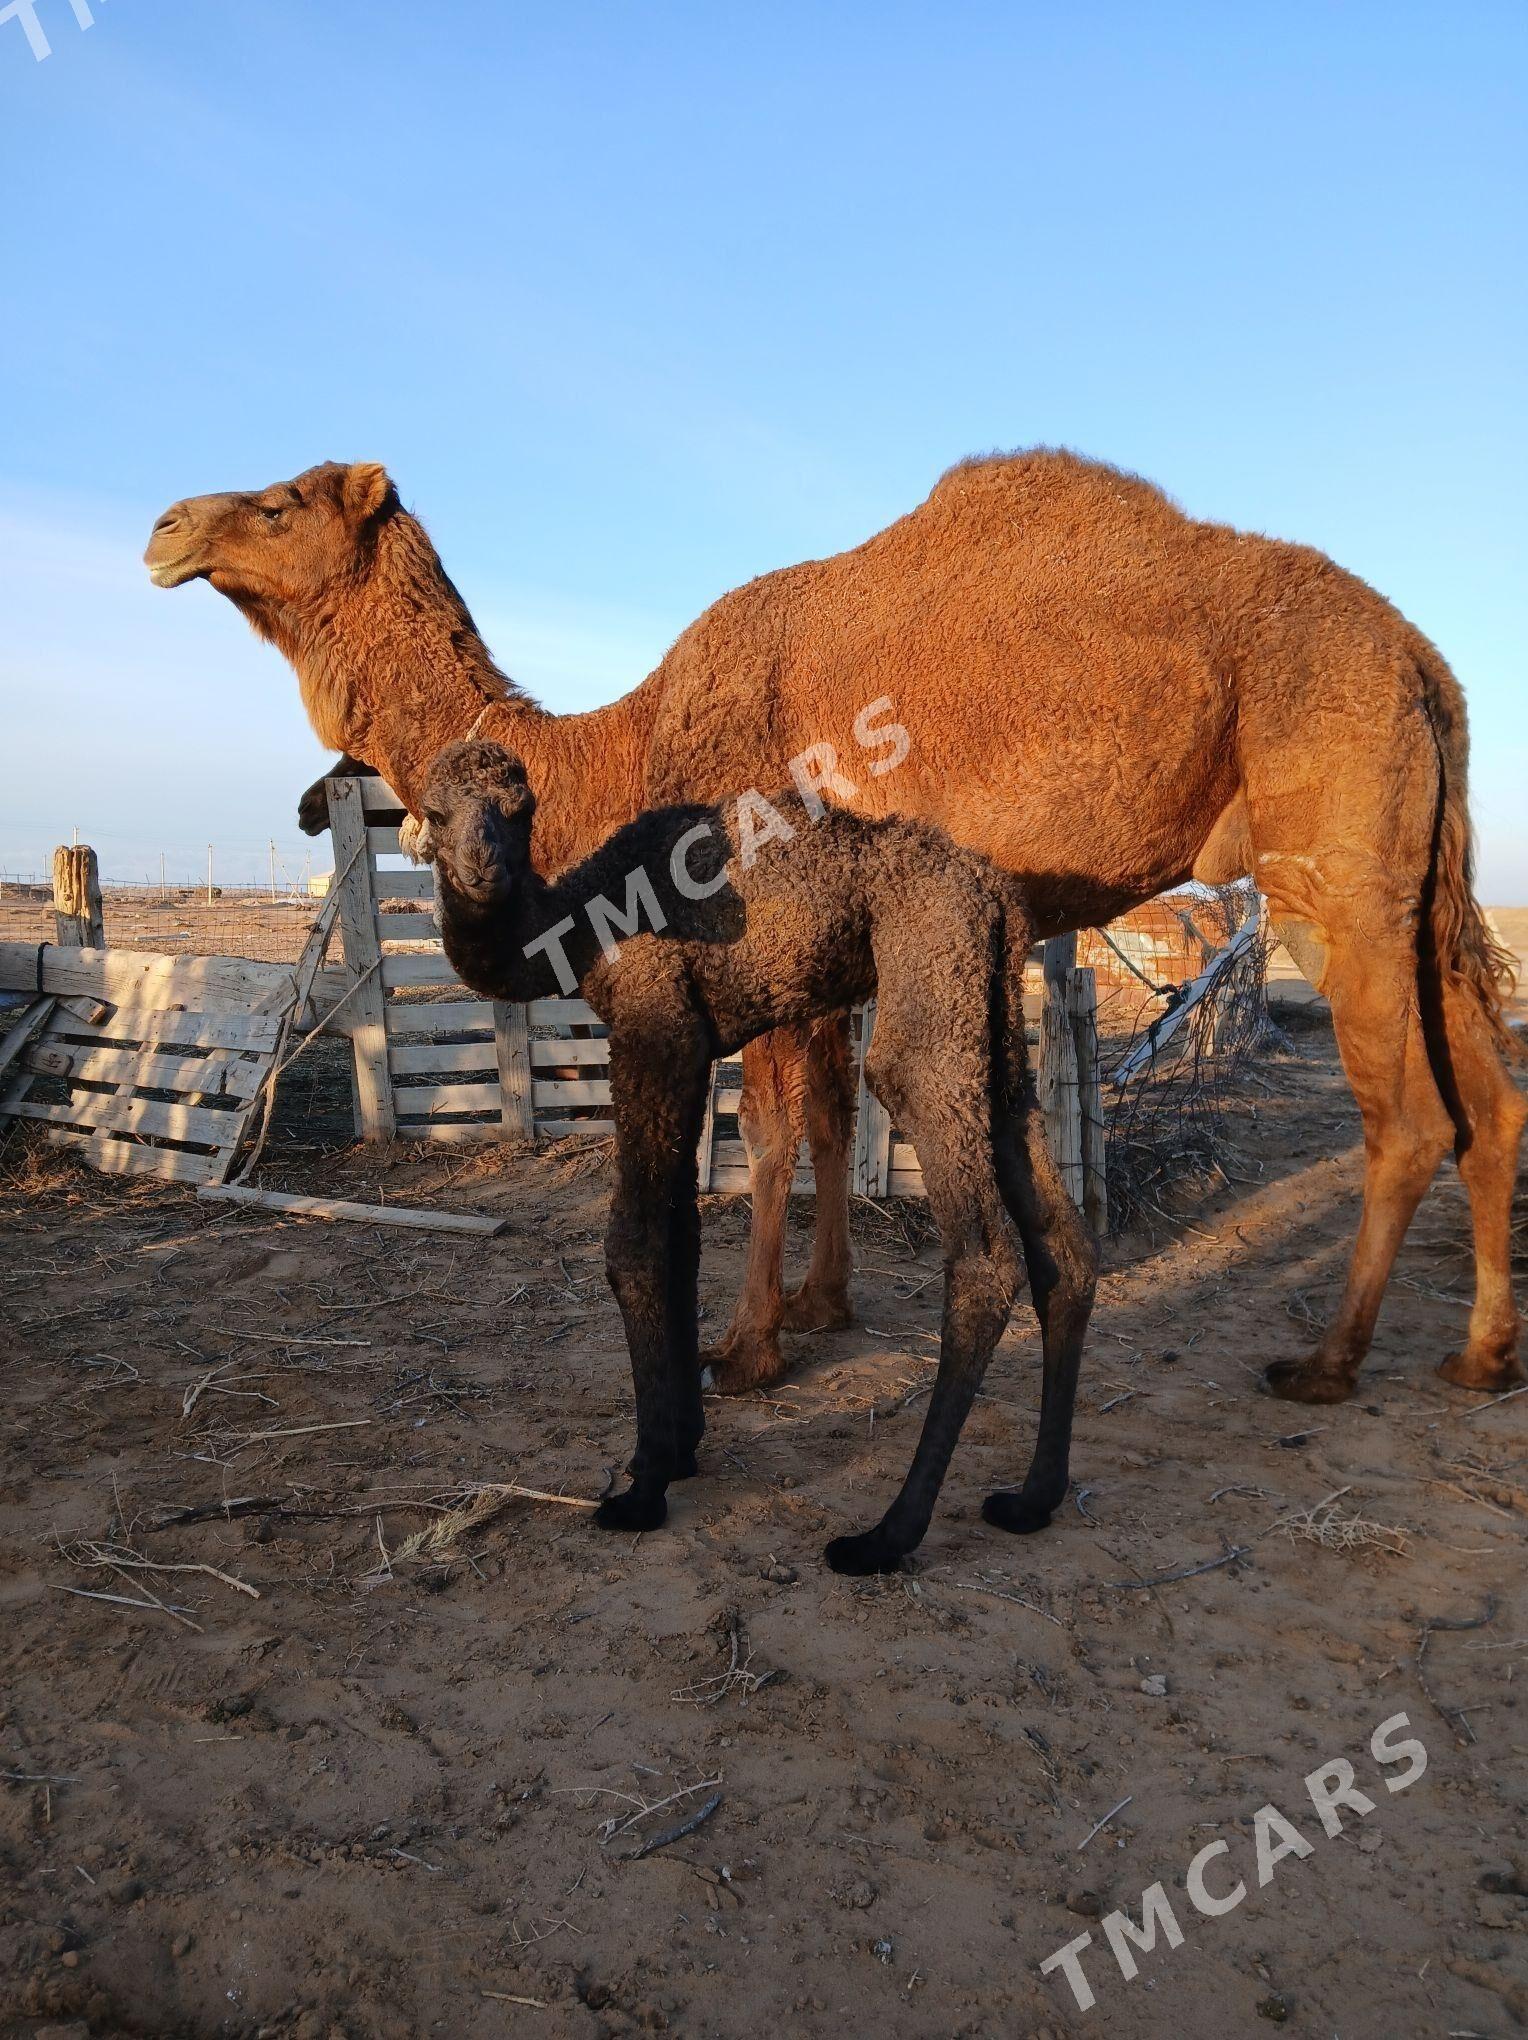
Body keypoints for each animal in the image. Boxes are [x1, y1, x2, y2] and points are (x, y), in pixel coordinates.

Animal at [142, 446, 1517, 1403]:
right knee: (1488, 1097)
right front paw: (821, 1309)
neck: (619, 749)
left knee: (1409, 1112)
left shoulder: (744, 916)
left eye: (282, 502)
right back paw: (1478, 1357)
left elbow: (765, 1134)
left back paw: (1327, 1365)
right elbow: (828, 1117)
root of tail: (1422, 661)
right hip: (1415, 871)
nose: (164, 527)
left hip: (1332, 861)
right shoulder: (829, 942)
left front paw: (745, 1347)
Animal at [420, 738, 1093, 1574]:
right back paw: (1032, 1498)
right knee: (1062, 1243)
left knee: (983, 1253)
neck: (579, 923)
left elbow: (635, 1244)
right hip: (994, 1023)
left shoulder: (653, 1027)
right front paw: (677, 1448)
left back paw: (885, 1536)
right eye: (436, 812)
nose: (481, 865)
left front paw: (644, 1488)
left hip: (930, 997)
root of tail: (996, 891)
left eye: (521, 810)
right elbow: (682, 1236)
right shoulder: (690, 1046)